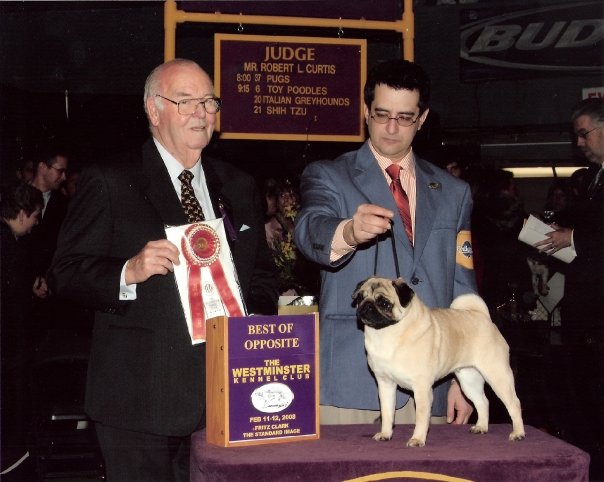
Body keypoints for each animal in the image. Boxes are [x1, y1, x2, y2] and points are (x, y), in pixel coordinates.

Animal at [352, 276, 528, 446]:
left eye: (384, 303)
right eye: (360, 298)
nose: (366, 306)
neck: (385, 334)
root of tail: (482, 316)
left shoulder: (421, 388)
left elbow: (421, 417)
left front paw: (417, 439)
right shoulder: (385, 384)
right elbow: (387, 413)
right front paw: (386, 434)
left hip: (497, 376)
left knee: (514, 404)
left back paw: (518, 433)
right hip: (469, 380)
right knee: (483, 402)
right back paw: (481, 427)